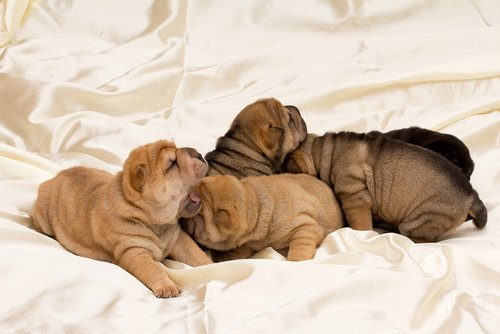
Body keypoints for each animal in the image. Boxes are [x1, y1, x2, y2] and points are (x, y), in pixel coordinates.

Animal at [32, 140, 213, 298]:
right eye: (172, 163)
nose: (199, 154)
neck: (154, 221)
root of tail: (56, 176)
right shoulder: (133, 250)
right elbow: (153, 269)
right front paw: (167, 287)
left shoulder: (178, 239)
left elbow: (195, 253)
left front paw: (213, 265)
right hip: (43, 215)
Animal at [182, 174, 346, 262]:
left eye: (199, 215)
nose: (180, 218)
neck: (255, 204)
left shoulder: (306, 226)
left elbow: (299, 247)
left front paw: (295, 262)